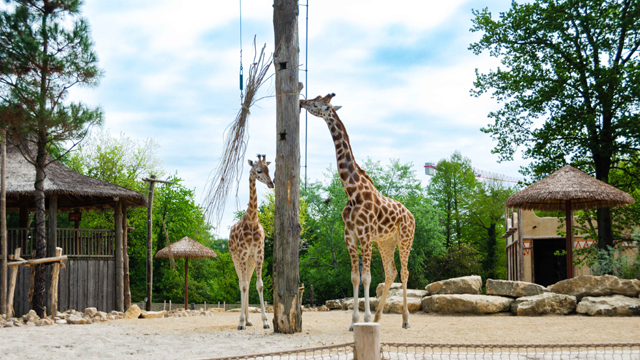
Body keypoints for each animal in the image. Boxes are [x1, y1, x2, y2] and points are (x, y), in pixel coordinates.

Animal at [229, 155, 274, 330]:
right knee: (242, 283)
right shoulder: (242, 254)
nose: (271, 184)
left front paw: (266, 321)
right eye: (259, 170)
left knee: (247, 282)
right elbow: (243, 285)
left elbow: (259, 285)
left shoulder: (259, 254)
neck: (253, 220)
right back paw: (243, 321)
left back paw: (248, 320)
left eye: (269, 169)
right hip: (236, 257)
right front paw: (240, 322)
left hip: (250, 261)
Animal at [302, 93, 418, 330]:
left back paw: (405, 320)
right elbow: (355, 277)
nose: (301, 102)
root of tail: (411, 215)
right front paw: (355, 321)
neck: (351, 190)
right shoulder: (350, 235)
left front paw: (364, 319)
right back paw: (378, 318)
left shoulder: (365, 235)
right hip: (386, 242)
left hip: (405, 238)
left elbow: (367, 278)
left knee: (404, 272)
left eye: (317, 104)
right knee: (391, 271)